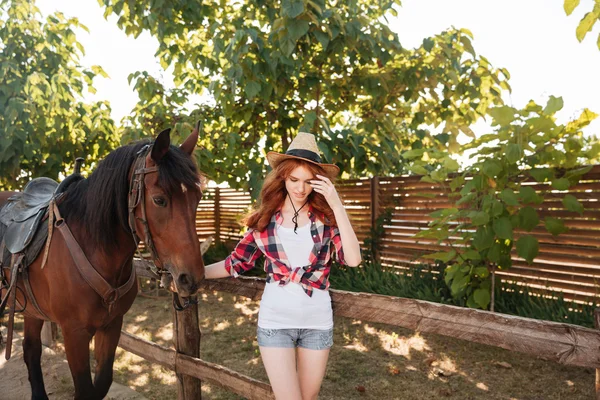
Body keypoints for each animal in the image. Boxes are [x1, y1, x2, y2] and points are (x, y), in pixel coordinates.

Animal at [0, 128, 205, 400]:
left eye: (198, 197)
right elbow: (85, 390)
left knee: (31, 348)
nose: (191, 278)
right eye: (159, 200)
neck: (94, 249)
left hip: (32, 309)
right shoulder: (74, 333)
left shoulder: (111, 325)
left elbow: (102, 382)